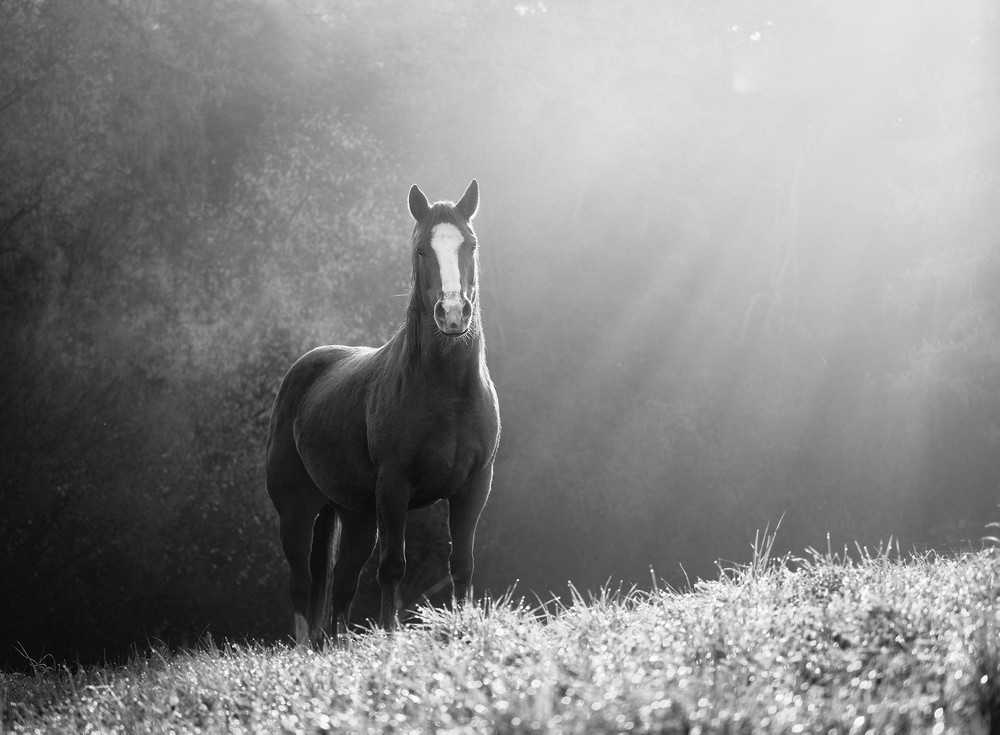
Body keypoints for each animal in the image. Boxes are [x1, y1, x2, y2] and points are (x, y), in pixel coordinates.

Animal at [265, 180, 500, 647]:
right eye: (421, 250)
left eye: (470, 245)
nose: (452, 314)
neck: (448, 391)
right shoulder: (394, 486)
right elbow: (393, 565)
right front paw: (391, 637)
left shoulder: (474, 485)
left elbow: (461, 563)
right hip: (297, 512)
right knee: (302, 584)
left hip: (356, 516)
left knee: (341, 583)